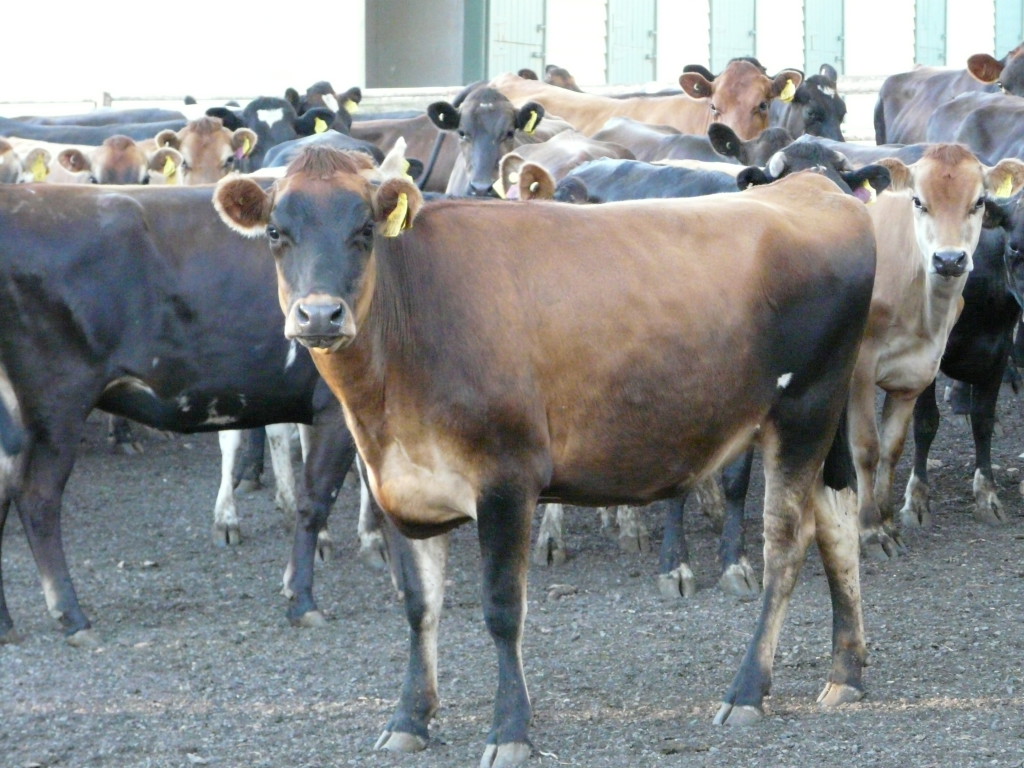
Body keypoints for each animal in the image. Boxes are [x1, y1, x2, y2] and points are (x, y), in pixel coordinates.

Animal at [214, 146, 878, 762]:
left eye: (365, 231)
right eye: (276, 232)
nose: (319, 314)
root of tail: (814, 187)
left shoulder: (508, 477)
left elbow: (502, 609)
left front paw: (510, 731)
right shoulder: (399, 483)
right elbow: (419, 607)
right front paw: (409, 719)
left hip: (805, 409)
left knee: (787, 544)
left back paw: (747, 692)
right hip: (825, 417)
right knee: (836, 520)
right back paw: (846, 673)